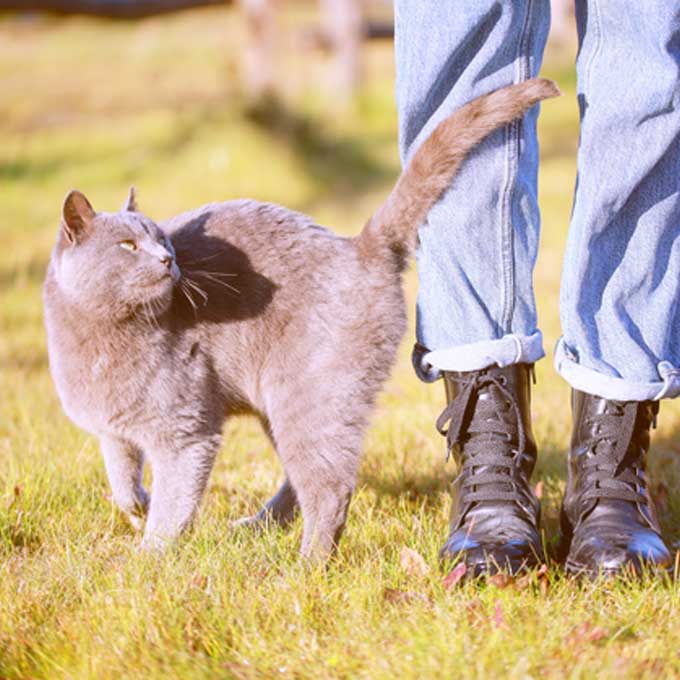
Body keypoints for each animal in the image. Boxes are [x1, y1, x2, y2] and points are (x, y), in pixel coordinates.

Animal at [45, 79, 560, 560]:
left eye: (161, 240)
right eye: (129, 245)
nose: (167, 259)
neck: (98, 339)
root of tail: (358, 247)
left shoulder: (186, 432)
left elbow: (175, 502)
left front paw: (150, 557)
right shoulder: (112, 430)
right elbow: (121, 478)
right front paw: (137, 505)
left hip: (309, 392)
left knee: (329, 486)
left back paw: (307, 563)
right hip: (284, 404)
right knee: (306, 476)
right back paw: (260, 527)